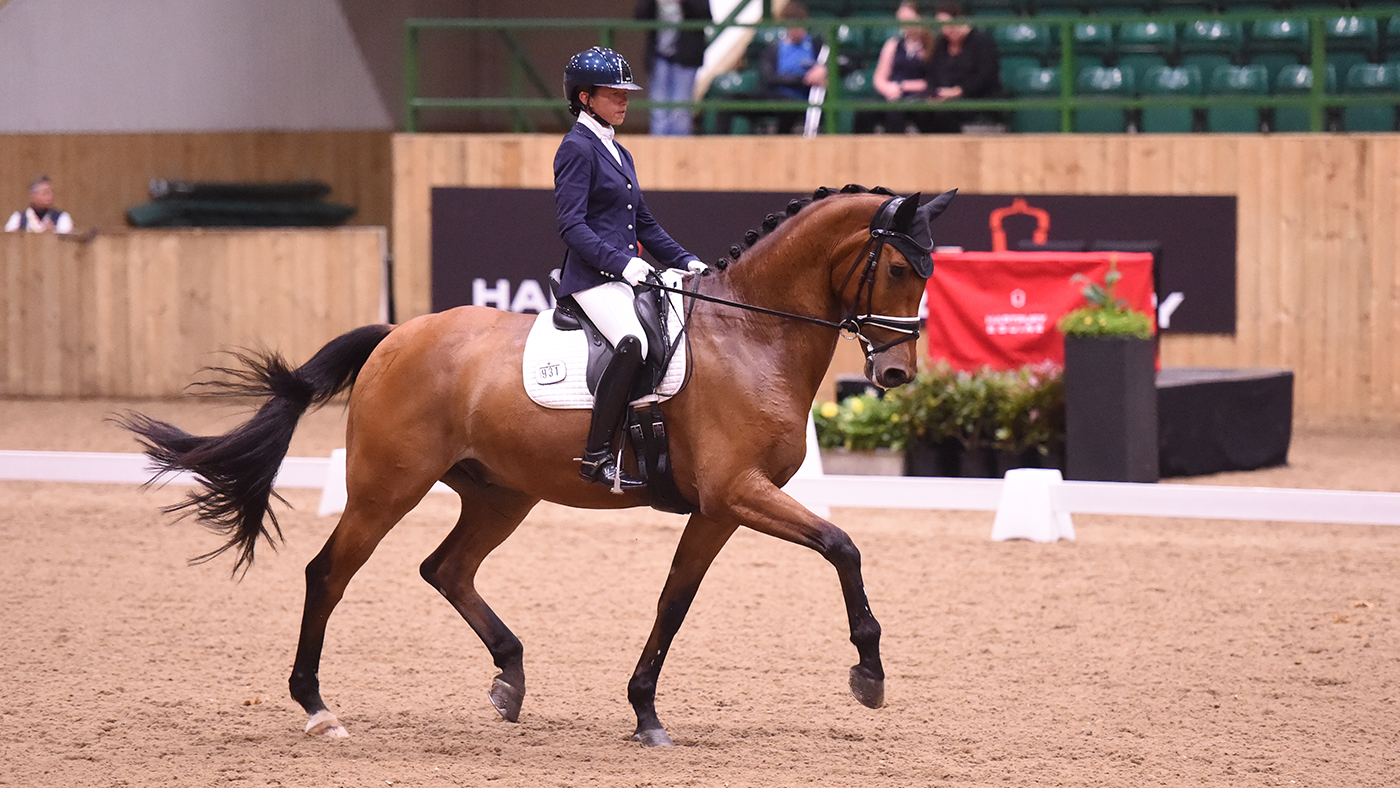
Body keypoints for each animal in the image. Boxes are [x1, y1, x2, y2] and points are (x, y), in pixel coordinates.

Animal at [119, 184, 957, 747]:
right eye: (897, 271)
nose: (895, 376)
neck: (750, 337)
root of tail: (397, 334)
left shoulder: (720, 508)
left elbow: (673, 604)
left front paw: (645, 711)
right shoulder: (736, 492)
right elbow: (842, 545)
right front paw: (869, 675)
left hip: (500, 495)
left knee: (446, 569)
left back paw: (509, 678)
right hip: (387, 487)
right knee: (329, 574)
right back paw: (319, 708)